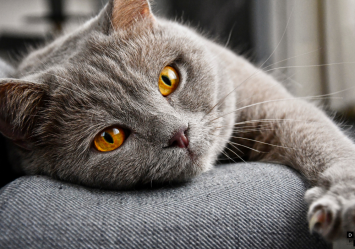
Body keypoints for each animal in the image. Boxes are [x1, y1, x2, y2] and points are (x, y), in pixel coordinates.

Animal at [0, 0, 355, 242]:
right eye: (109, 137)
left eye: (167, 78)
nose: (179, 133)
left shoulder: (275, 108)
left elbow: (323, 141)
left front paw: (343, 203)